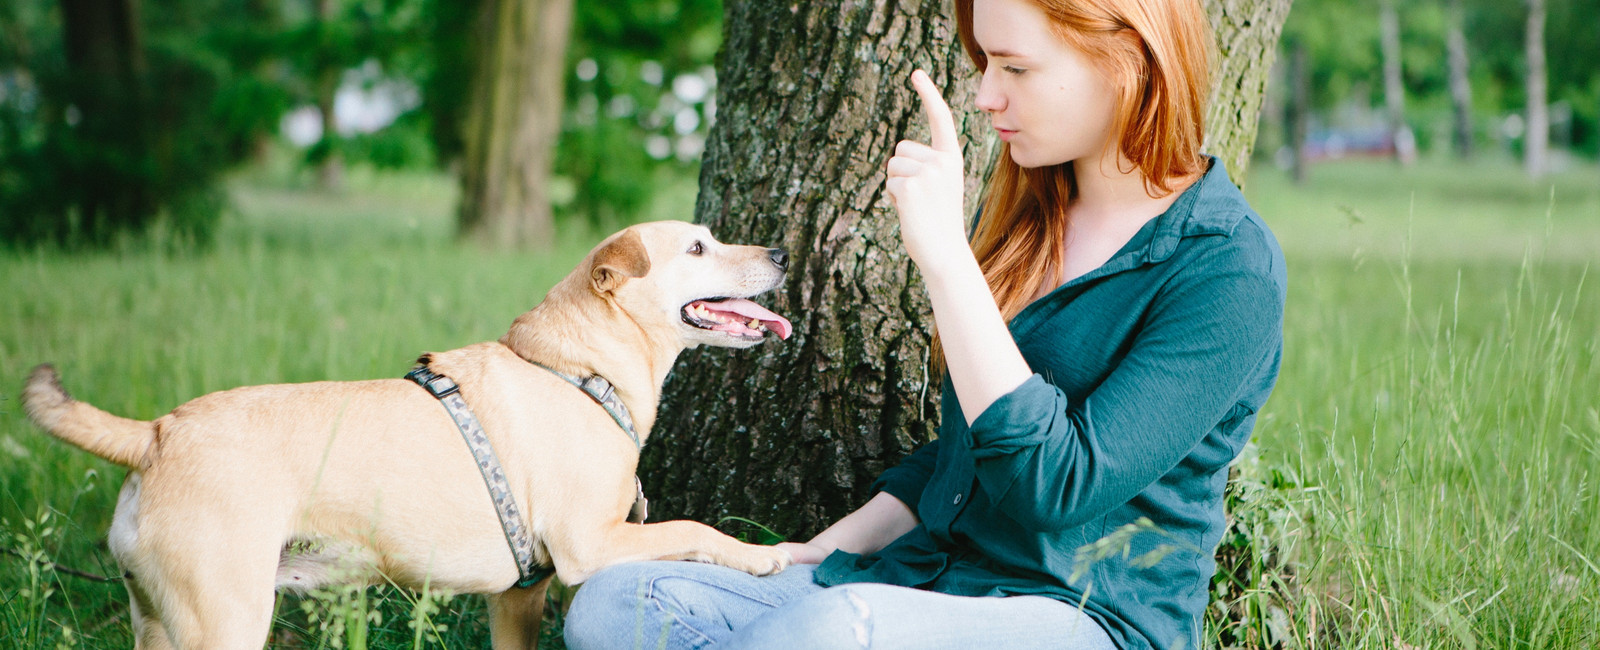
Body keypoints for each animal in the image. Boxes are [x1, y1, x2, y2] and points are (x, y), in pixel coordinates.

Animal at [21, 219, 796, 650]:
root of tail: (155, 432)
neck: (579, 367)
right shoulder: (592, 545)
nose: (784, 254)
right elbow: (696, 529)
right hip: (224, 620)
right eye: (698, 247)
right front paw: (769, 556)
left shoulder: (518, 597)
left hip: (158, 620)